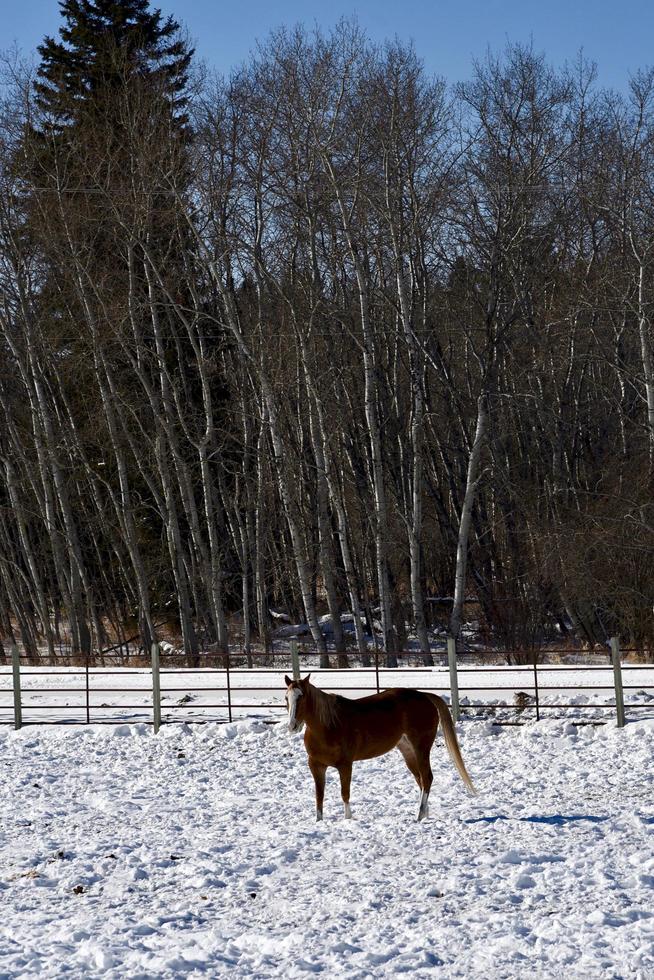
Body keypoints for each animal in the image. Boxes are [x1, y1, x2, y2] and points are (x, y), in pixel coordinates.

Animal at [286, 672, 476, 820]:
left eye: (301, 696)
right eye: (286, 698)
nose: (292, 726)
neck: (328, 725)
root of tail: (424, 695)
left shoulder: (345, 765)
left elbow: (345, 793)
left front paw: (348, 819)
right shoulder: (316, 766)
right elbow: (319, 796)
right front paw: (319, 821)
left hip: (421, 748)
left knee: (427, 778)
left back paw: (419, 815)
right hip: (408, 751)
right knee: (421, 780)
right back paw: (425, 814)